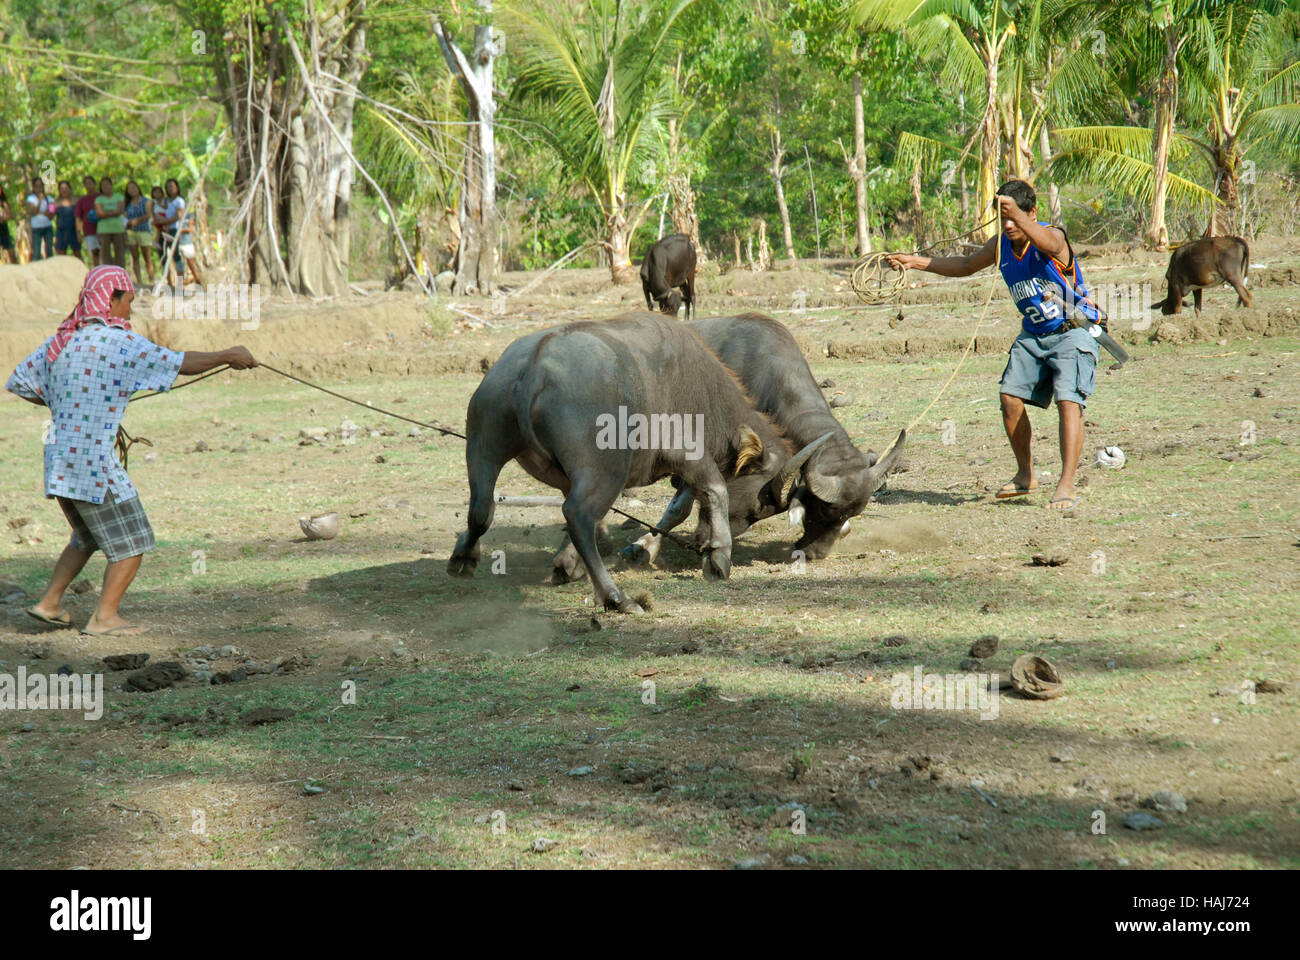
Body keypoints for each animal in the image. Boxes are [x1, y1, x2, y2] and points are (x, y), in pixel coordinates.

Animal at [447, 314, 832, 613]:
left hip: (482, 446)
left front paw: (566, 564)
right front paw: (718, 556)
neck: (704, 391)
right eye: (760, 506)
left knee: (482, 508)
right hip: (606, 469)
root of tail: (535, 366)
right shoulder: (688, 453)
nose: (704, 538)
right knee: (579, 515)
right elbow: (715, 489)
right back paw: (616, 598)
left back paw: (463, 558)